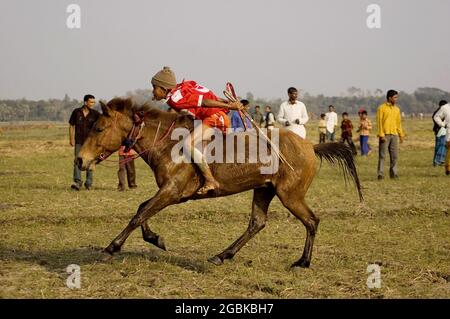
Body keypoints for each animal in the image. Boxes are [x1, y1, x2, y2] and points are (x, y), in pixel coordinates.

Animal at [77, 99, 362, 268]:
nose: (81, 159)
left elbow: (139, 215)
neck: (168, 142)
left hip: (290, 195)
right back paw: (223, 255)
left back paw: (303, 261)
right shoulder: (170, 192)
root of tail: (310, 146)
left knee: (311, 221)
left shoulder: (171, 192)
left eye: (99, 128)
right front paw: (155, 238)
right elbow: (141, 209)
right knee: (257, 222)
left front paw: (111, 247)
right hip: (264, 190)